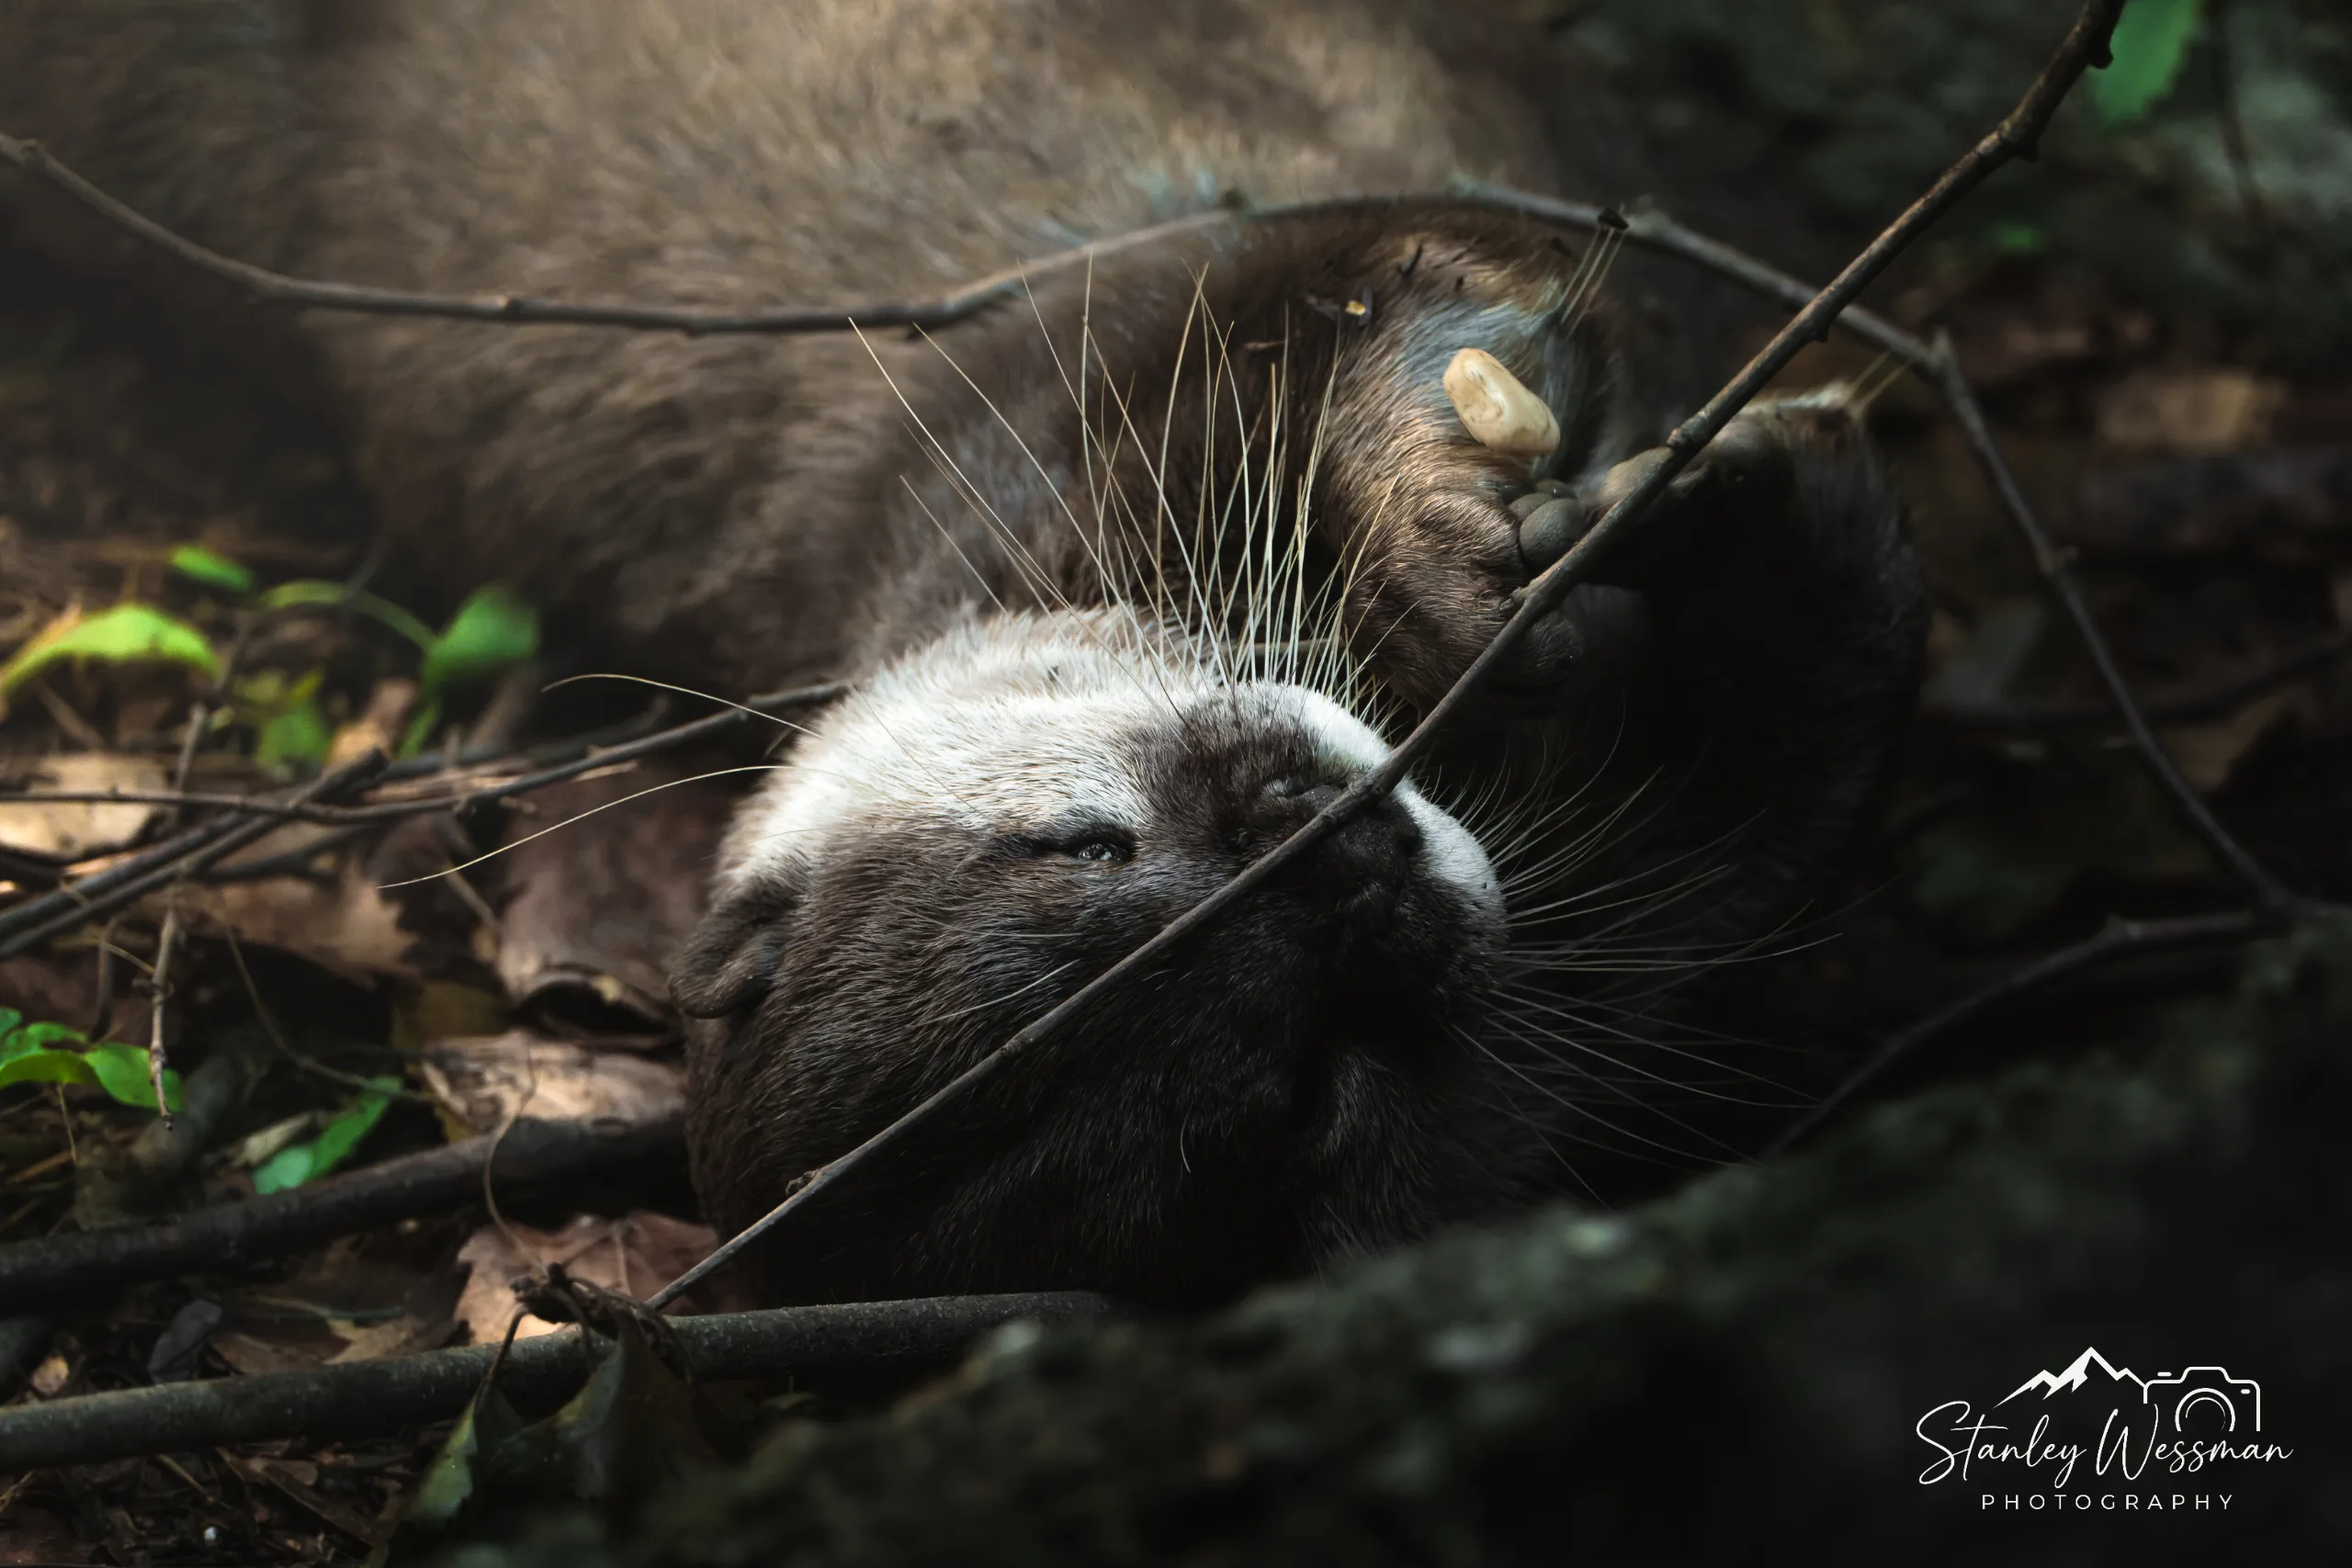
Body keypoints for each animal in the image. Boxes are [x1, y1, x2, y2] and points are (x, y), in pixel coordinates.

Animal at [3, 0, 1925, 1306]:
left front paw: (1474, 535)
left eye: (1080, 843)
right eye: (1288, 1104)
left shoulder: (1118, 331)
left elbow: (1368, 278)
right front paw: (1783, 528)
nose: (1349, 858)